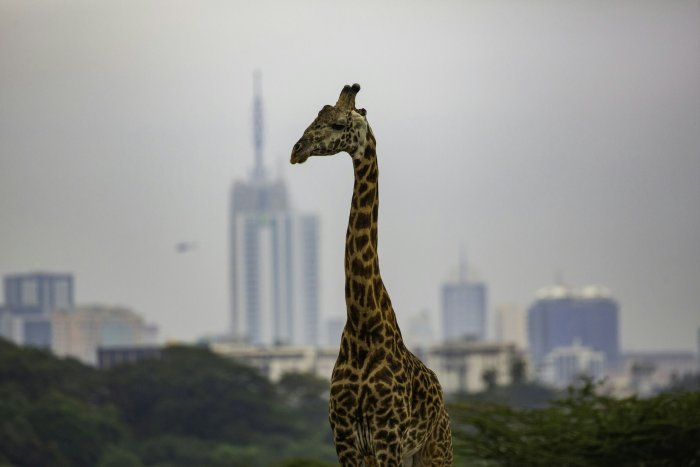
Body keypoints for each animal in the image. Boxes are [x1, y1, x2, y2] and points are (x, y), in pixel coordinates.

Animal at [290, 84, 453, 466]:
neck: (362, 322)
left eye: (337, 124)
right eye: (316, 116)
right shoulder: (345, 438)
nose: (296, 150)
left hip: (435, 450)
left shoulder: (387, 435)